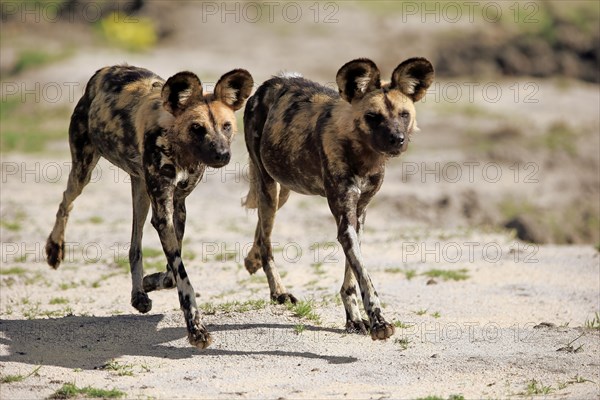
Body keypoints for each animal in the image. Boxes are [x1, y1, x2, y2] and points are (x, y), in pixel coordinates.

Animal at [46, 65, 253, 346]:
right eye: (197, 128)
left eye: (226, 126)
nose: (222, 155)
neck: (179, 146)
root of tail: (104, 70)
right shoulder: (163, 213)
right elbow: (182, 278)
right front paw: (196, 329)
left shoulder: (177, 207)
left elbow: (172, 273)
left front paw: (151, 282)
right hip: (83, 172)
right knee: (65, 202)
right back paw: (54, 249)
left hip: (141, 192)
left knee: (135, 246)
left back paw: (139, 295)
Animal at [241, 57, 434, 340]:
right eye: (372, 117)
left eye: (404, 114)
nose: (397, 140)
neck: (364, 155)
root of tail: (275, 80)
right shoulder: (345, 221)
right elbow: (364, 277)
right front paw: (378, 322)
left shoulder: (359, 214)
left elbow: (352, 278)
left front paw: (354, 319)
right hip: (268, 187)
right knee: (267, 241)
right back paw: (278, 291)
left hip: (281, 190)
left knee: (261, 231)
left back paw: (252, 260)